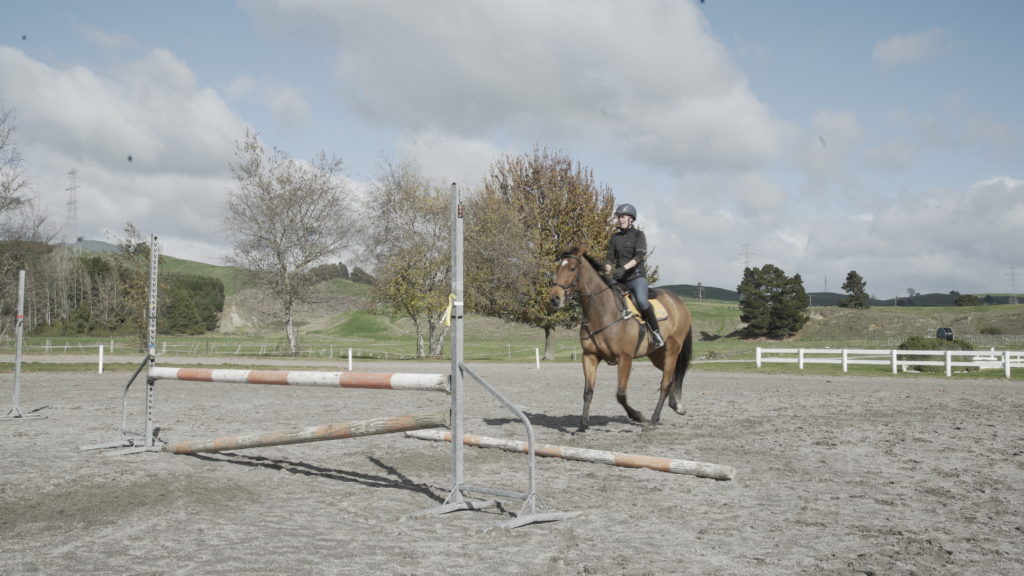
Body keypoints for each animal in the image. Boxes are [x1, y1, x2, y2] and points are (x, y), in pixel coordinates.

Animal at [549, 245, 694, 432]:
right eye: (557, 268)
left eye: (572, 268)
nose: (555, 298)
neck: (603, 312)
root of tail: (679, 302)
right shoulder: (589, 356)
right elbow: (588, 391)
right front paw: (582, 426)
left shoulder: (625, 358)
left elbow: (620, 394)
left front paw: (638, 415)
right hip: (657, 355)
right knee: (673, 377)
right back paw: (677, 406)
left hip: (672, 350)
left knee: (665, 384)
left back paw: (652, 421)